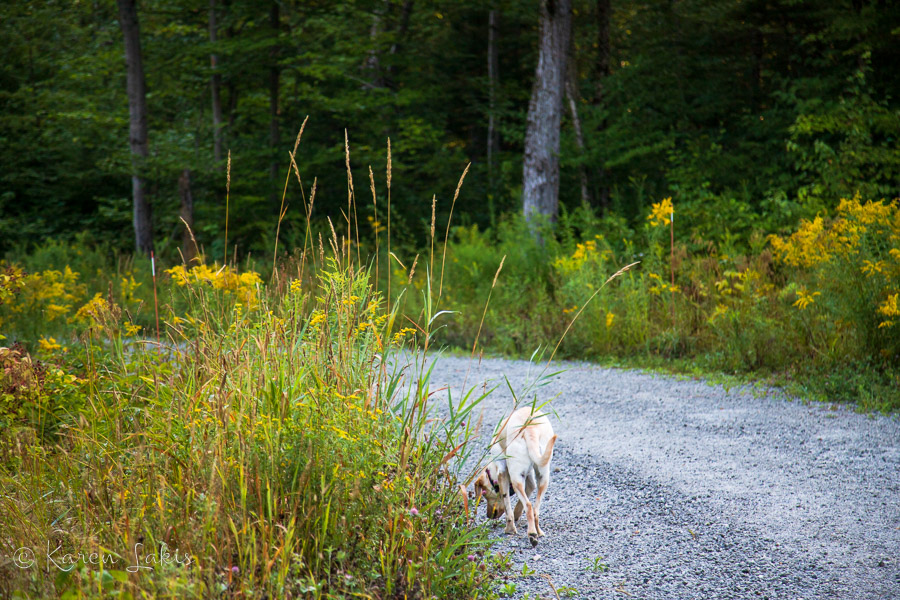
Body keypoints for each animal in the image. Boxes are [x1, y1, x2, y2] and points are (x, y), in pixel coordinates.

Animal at [472, 406, 556, 548]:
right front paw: (517, 514)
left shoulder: (503, 474)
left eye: (484, 495)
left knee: (528, 505)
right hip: (543, 477)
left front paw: (510, 529)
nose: (489, 516)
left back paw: (532, 534)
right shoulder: (529, 479)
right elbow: (525, 495)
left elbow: (508, 508)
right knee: (535, 509)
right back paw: (538, 531)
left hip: (517, 479)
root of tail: (530, 429)